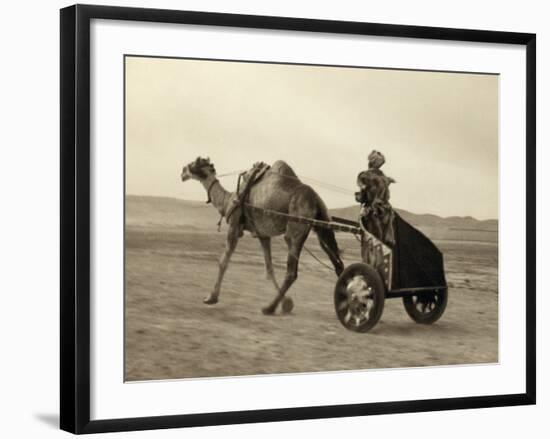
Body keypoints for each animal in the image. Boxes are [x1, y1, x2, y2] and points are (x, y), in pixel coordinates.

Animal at [181, 156, 344, 314]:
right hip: (322, 226)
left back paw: (269, 307)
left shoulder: (234, 225)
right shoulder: (263, 235)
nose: (182, 172)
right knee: (338, 265)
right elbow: (269, 269)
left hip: (295, 228)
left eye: (193, 163)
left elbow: (223, 262)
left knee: (292, 271)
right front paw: (286, 303)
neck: (228, 201)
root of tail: (316, 200)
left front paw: (211, 297)